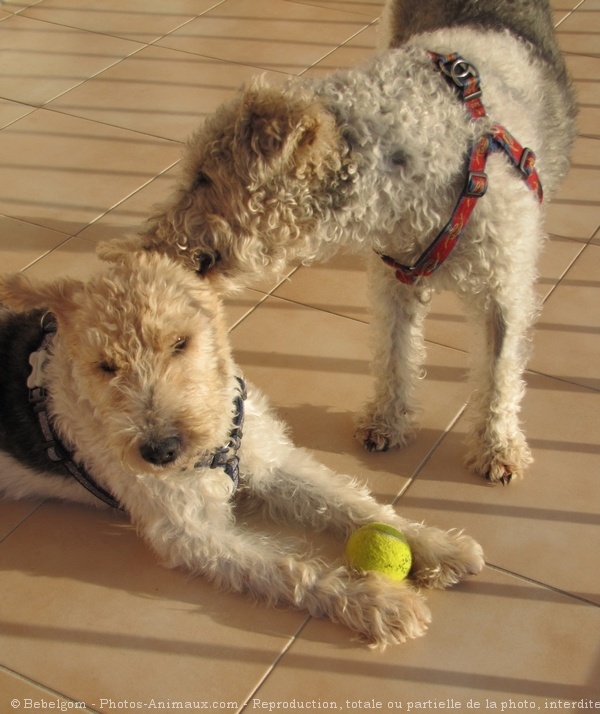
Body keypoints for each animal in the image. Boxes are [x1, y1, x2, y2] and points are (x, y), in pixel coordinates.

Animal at [0, 248, 482, 648]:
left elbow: (350, 502)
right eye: (105, 365)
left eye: (180, 342)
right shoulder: (189, 530)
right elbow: (290, 567)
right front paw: (378, 603)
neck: (213, 447)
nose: (160, 451)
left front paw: (438, 547)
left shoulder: (269, 459)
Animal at [135, 0, 576, 484]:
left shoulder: (503, 289)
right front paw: (387, 422)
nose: (150, 245)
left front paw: (497, 448)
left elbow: (499, 373)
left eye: (204, 176)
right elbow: (395, 353)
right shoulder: (394, 277)